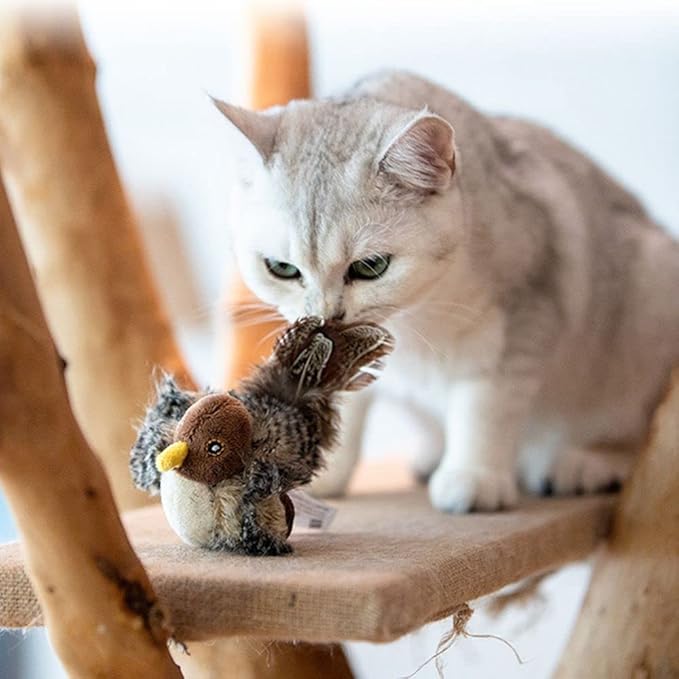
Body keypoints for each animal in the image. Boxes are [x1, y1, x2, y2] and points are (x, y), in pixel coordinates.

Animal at [215, 71, 679, 512]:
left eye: (370, 267)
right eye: (281, 269)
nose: (327, 316)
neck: (411, 318)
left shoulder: (522, 319)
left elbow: (485, 406)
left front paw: (474, 477)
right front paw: (320, 472)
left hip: (649, 297)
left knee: (632, 433)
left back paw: (582, 462)